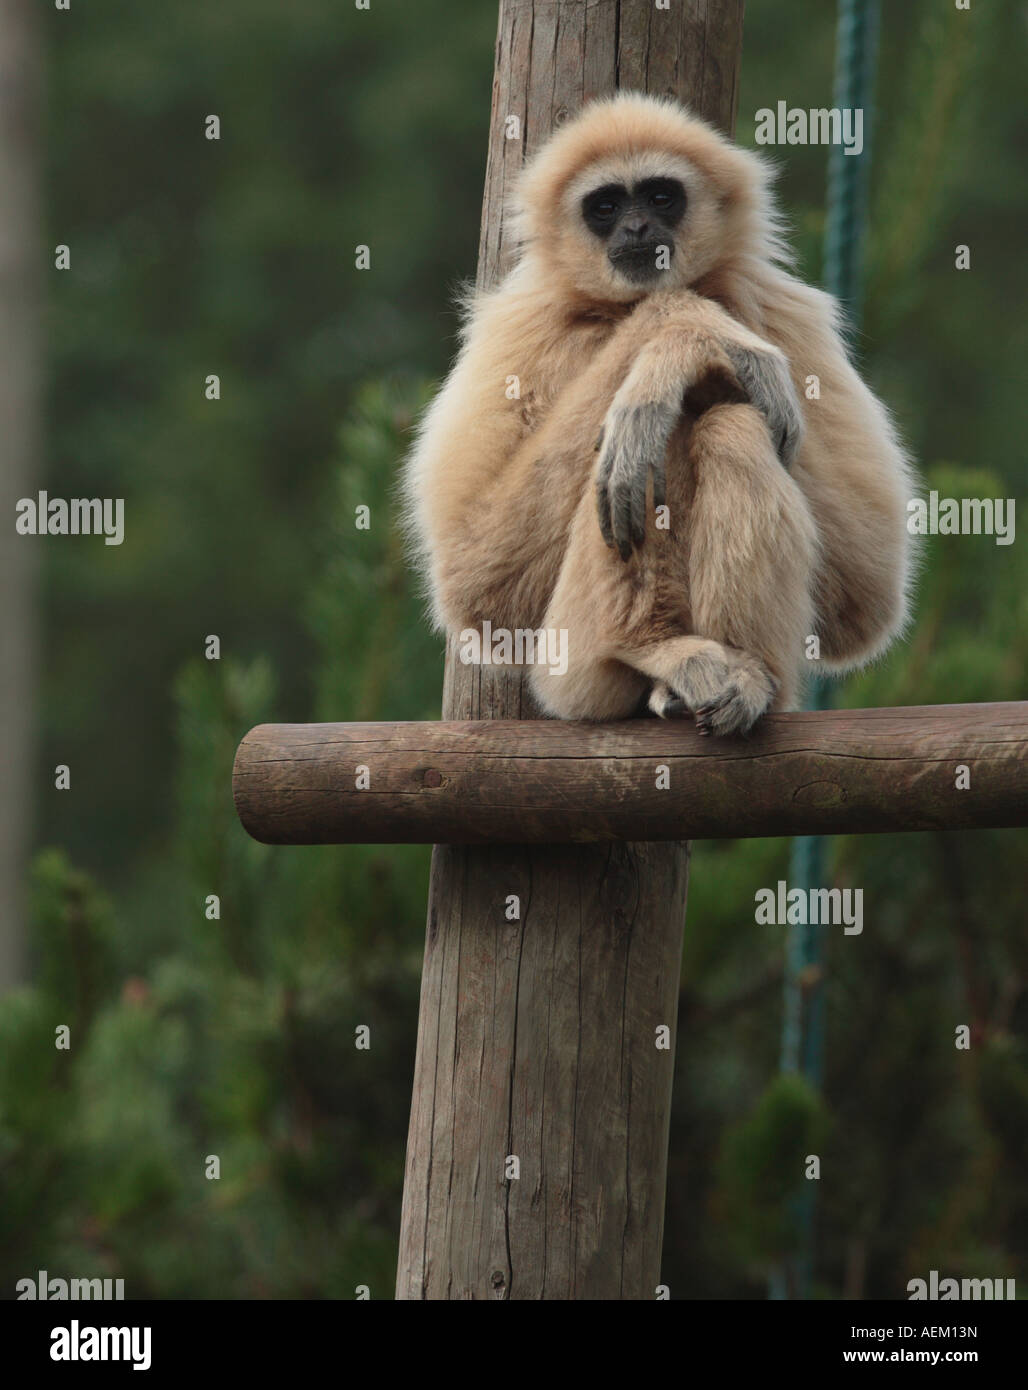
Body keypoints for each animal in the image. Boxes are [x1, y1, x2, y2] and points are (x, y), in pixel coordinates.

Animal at [402, 94, 915, 735]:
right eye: (605, 206)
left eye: (661, 196)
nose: (638, 228)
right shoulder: (518, 327)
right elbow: (478, 576)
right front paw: (685, 332)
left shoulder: (783, 308)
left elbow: (863, 592)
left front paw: (689, 345)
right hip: (569, 669)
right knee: (644, 443)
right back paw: (649, 645)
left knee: (728, 425)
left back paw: (746, 672)